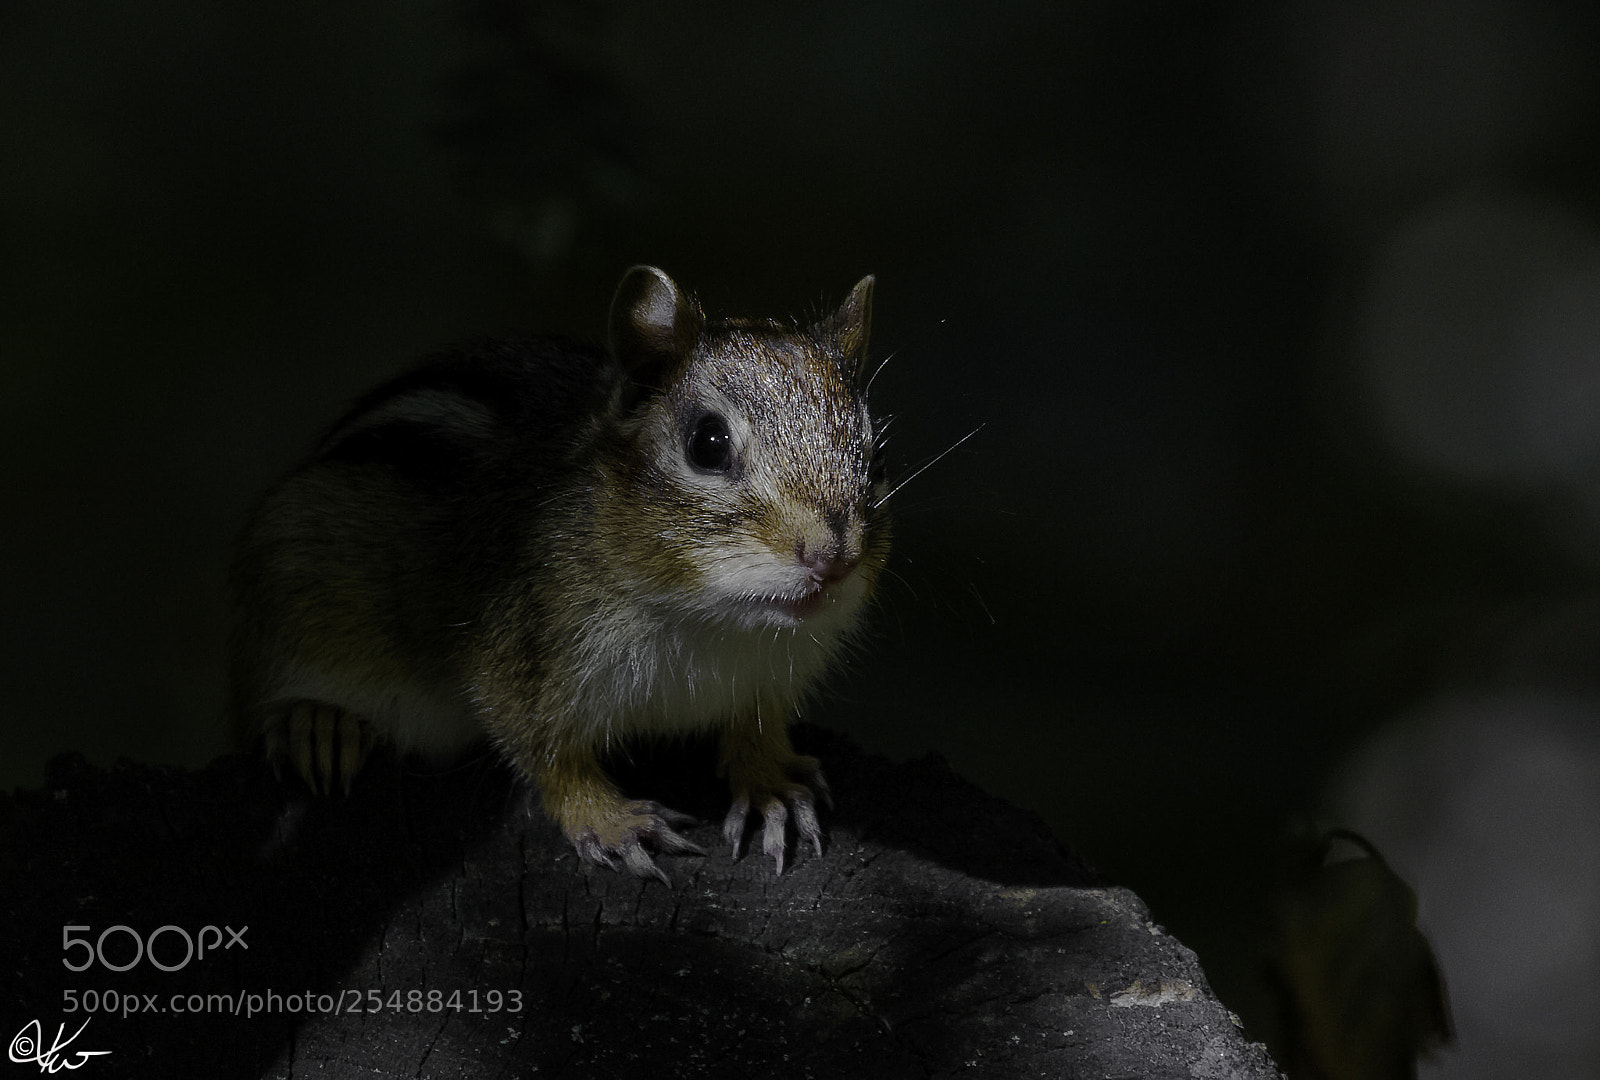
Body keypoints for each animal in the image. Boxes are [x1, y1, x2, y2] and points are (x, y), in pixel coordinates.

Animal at [229, 266, 890, 882]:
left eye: (873, 450)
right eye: (708, 443)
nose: (834, 557)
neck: (711, 620)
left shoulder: (770, 679)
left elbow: (756, 728)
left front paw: (770, 785)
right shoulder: (515, 651)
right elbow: (545, 751)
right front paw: (609, 821)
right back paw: (320, 721)